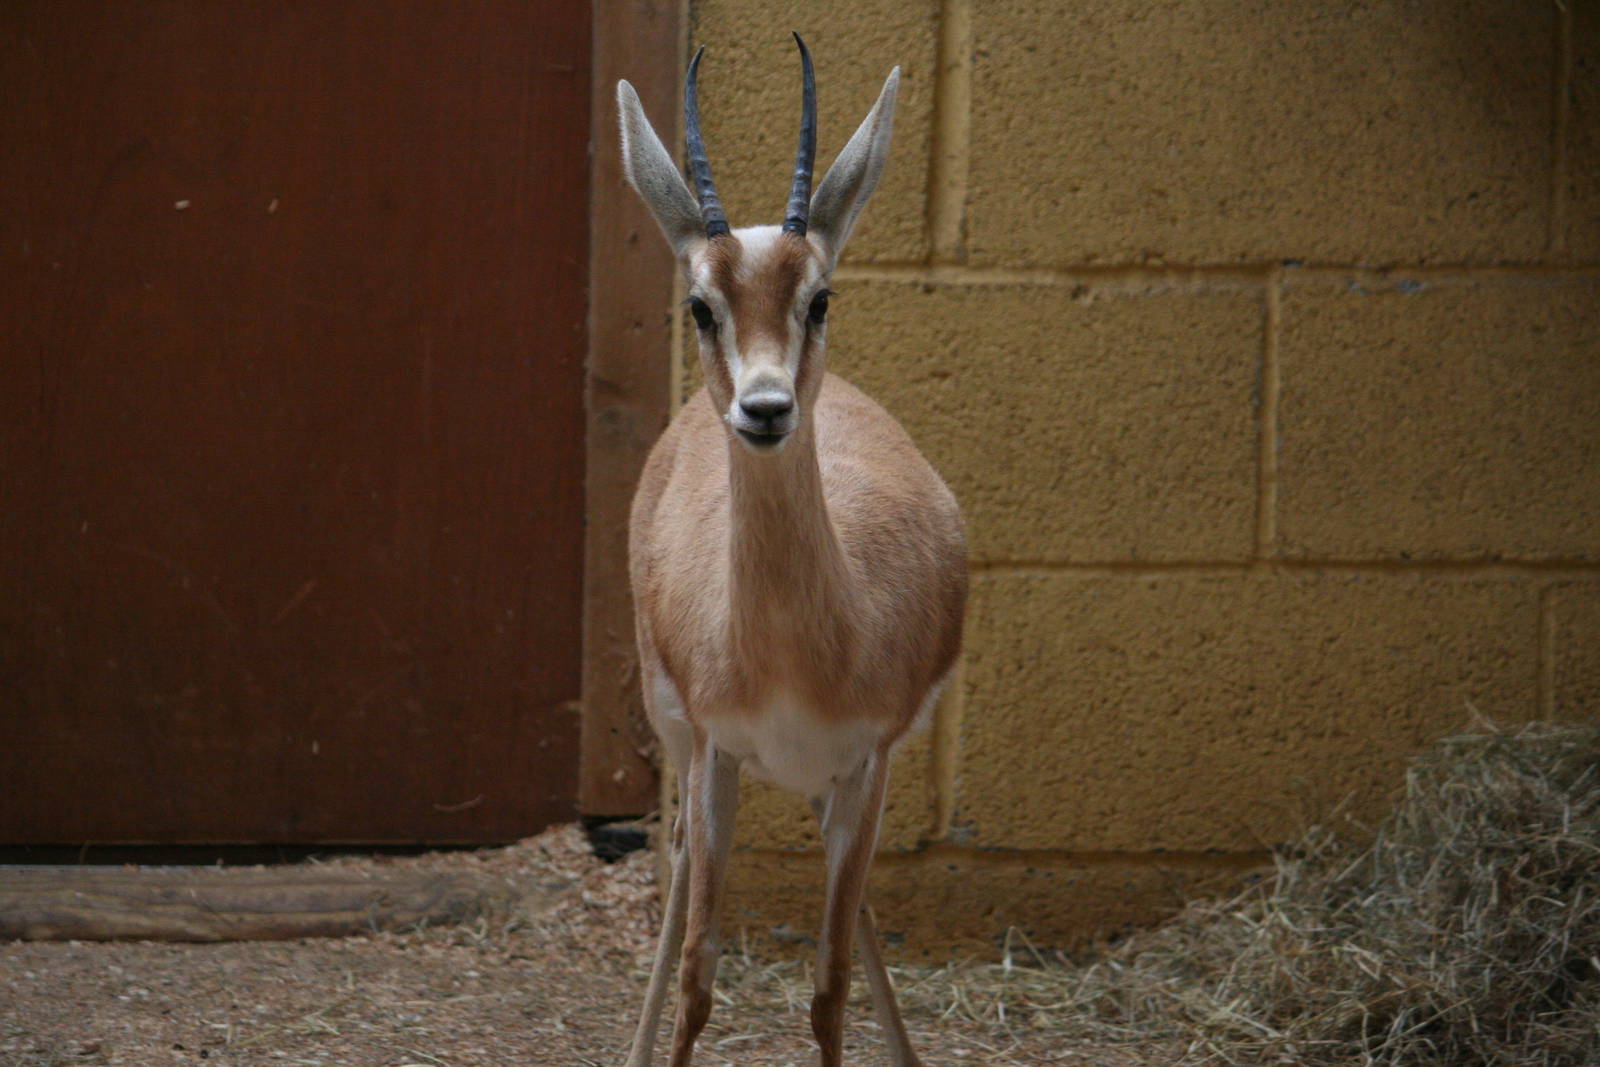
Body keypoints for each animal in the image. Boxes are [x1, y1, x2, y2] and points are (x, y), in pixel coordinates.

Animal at [617, 35, 967, 1067]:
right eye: (701, 305)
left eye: (819, 298)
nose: (766, 407)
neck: (797, 651)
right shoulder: (716, 752)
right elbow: (699, 974)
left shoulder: (867, 763)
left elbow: (829, 981)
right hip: (680, 734)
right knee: (678, 857)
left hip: (831, 784)